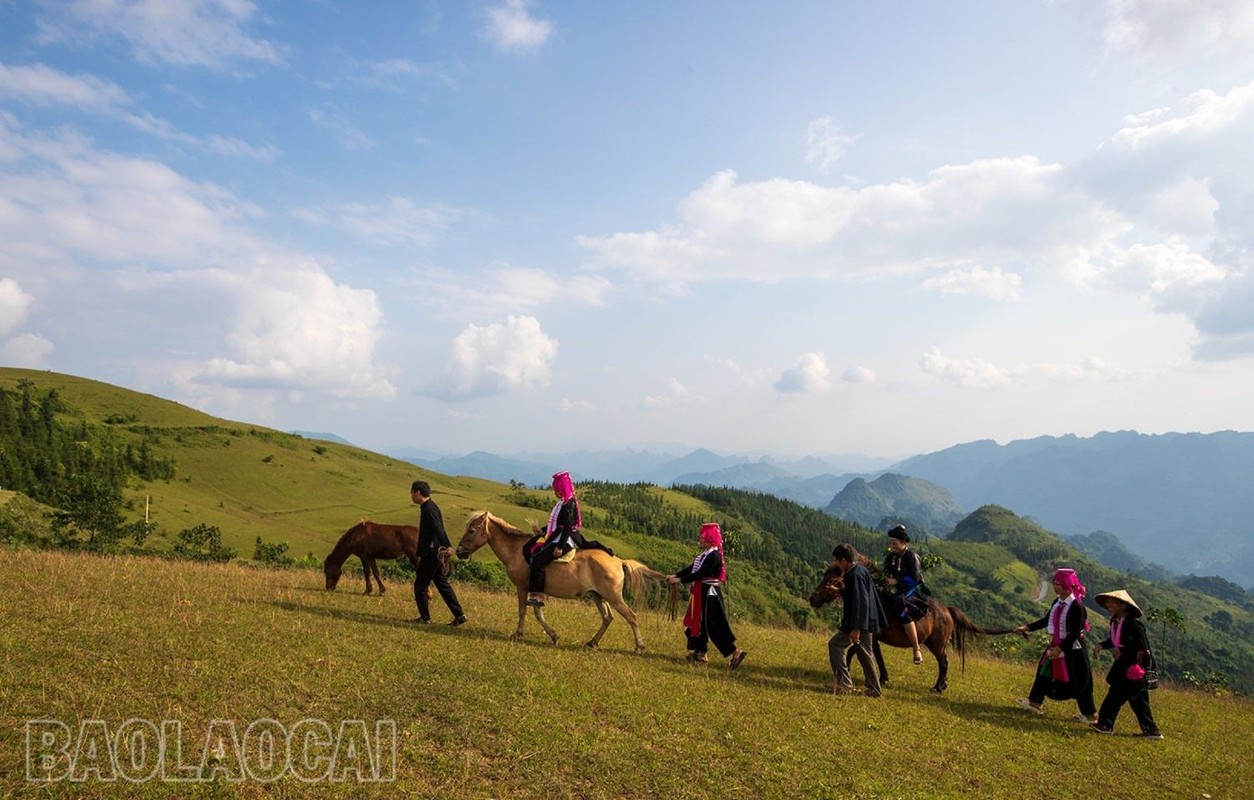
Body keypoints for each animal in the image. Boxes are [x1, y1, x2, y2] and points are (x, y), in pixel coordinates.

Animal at [456, 511, 672, 657]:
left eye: (472, 530)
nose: (459, 551)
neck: (517, 550)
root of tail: (619, 561)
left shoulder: (523, 587)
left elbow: (524, 611)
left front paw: (518, 634)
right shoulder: (536, 590)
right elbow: (538, 612)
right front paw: (553, 636)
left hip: (612, 596)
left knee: (631, 617)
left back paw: (639, 647)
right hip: (598, 595)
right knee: (607, 618)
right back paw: (592, 643)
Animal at [807, 556, 1023, 697]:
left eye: (830, 580)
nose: (812, 598)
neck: (875, 602)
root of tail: (947, 610)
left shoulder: (872, 636)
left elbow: (862, 653)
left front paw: (863, 675)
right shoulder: (872, 637)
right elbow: (867, 654)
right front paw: (878, 678)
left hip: (936, 644)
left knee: (944, 662)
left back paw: (938, 687)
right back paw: (942, 685)